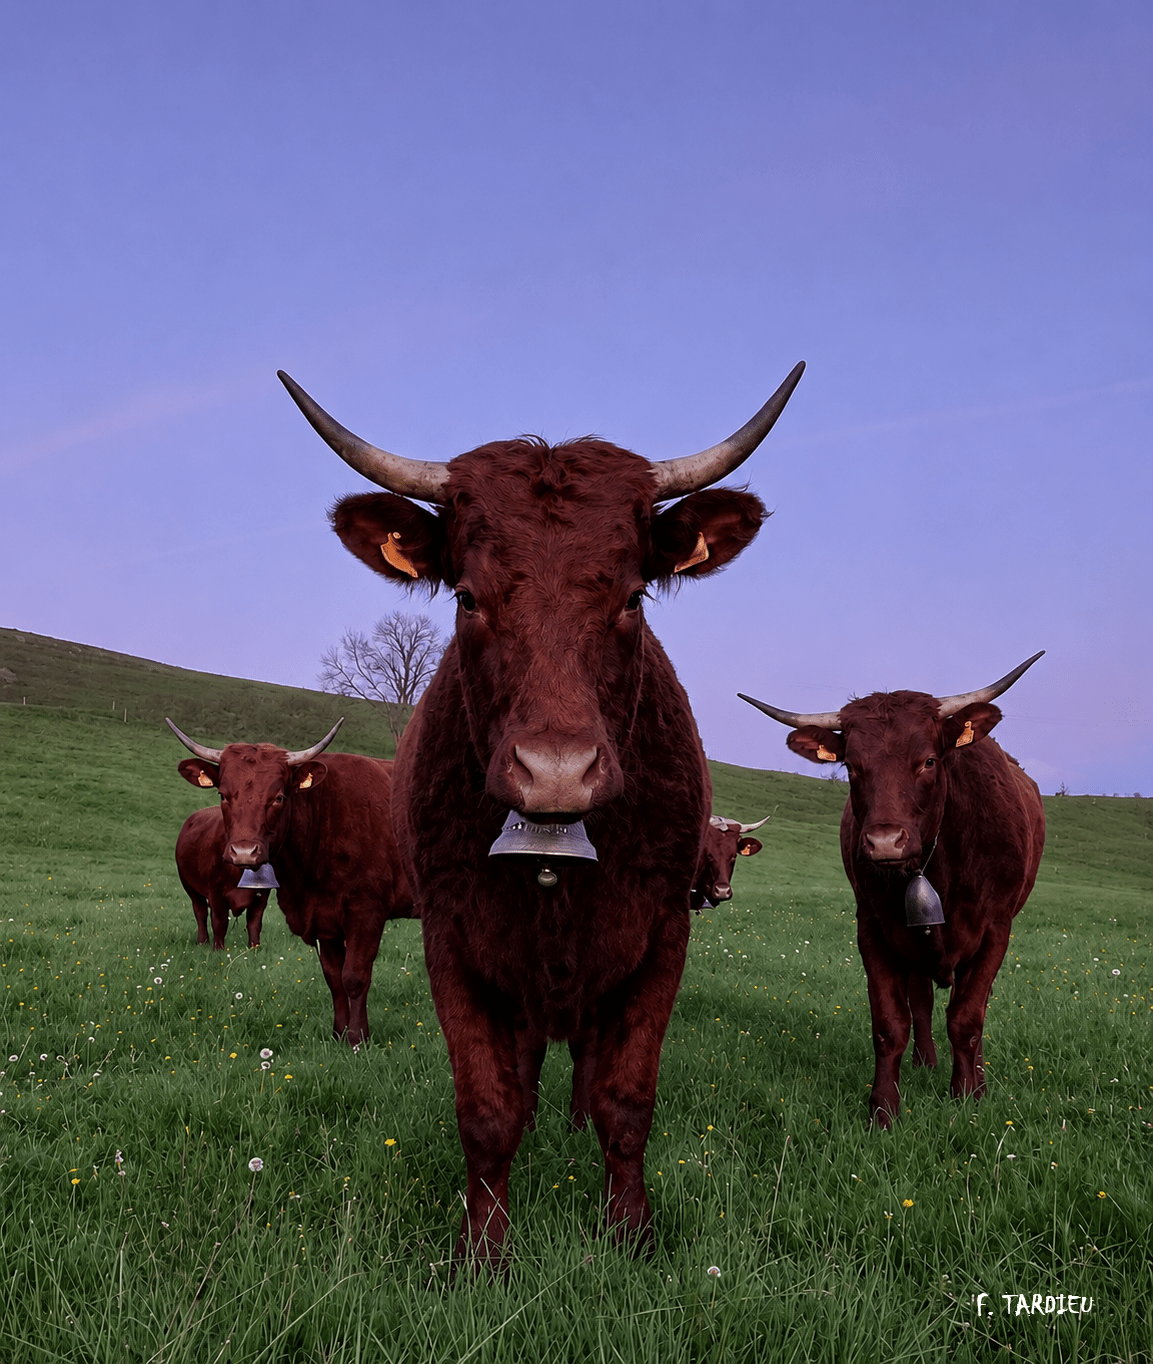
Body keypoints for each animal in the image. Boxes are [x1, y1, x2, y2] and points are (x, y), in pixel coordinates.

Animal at [175, 804, 270, 949]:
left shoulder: (261, 896)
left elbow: (254, 923)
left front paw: (254, 948)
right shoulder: (216, 892)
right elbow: (220, 922)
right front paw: (218, 948)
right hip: (189, 885)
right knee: (200, 912)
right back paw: (203, 941)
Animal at [278, 359, 804, 1265]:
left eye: (632, 598)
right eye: (466, 597)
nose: (555, 772)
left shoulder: (660, 937)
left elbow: (626, 1095)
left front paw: (628, 1231)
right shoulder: (453, 941)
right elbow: (487, 1107)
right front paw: (483, 1248)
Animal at [740, 652, 1046, 1127]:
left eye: (929, 761)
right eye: (851, 766)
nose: (884, 842)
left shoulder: (996, 929)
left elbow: (967, 1018)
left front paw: (967, 1096)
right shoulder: (874, 928)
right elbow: (890, 1023)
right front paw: (883, 1109)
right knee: (921, 1000)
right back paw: (926, 1062)